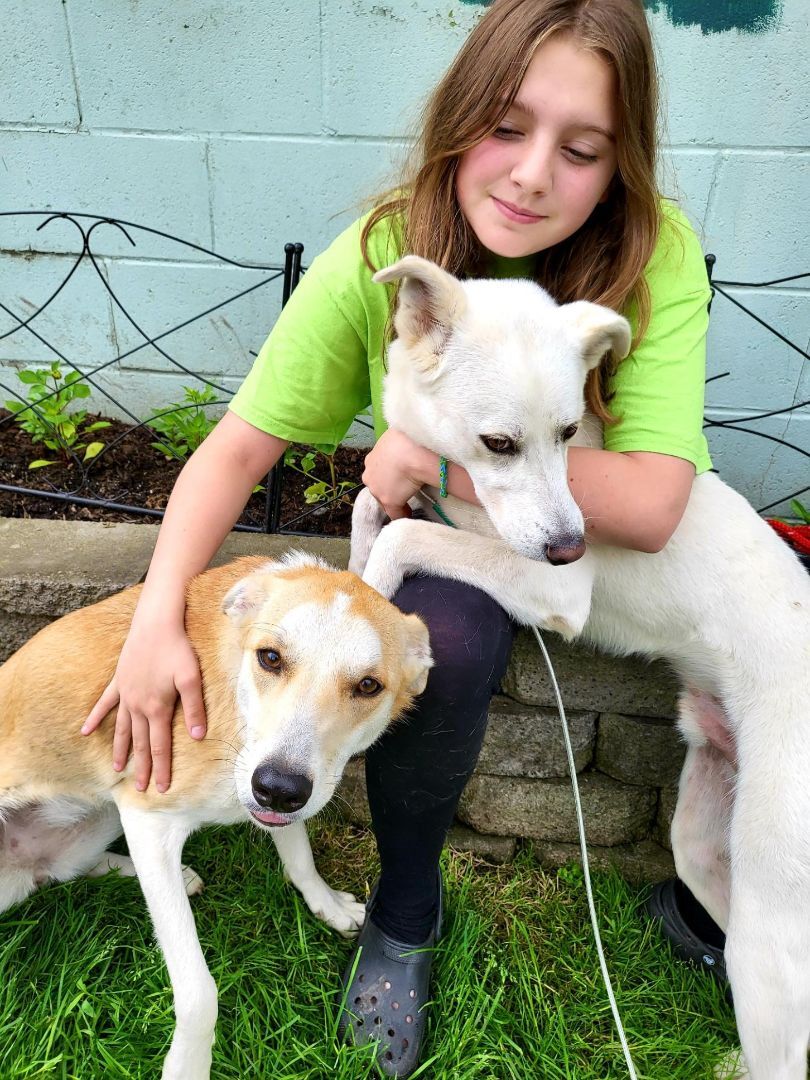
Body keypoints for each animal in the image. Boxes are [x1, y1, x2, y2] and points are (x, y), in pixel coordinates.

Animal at [0, 552, 434, 1080]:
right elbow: (198, 993)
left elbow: (300, 857)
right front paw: (189, 1064)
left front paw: (326, 903)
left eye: (368, 686)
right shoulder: (147, 816)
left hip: (100, 811)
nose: (278, 790)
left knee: (62, 869)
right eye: (270, 657)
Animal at [352, 254, 810, 1080]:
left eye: (568, 433)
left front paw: (365, 599)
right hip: (705, 844)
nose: (570, 543)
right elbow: (370, 507)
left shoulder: (554, 587)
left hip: (772, 923)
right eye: (499, 443)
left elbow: (398, 535)